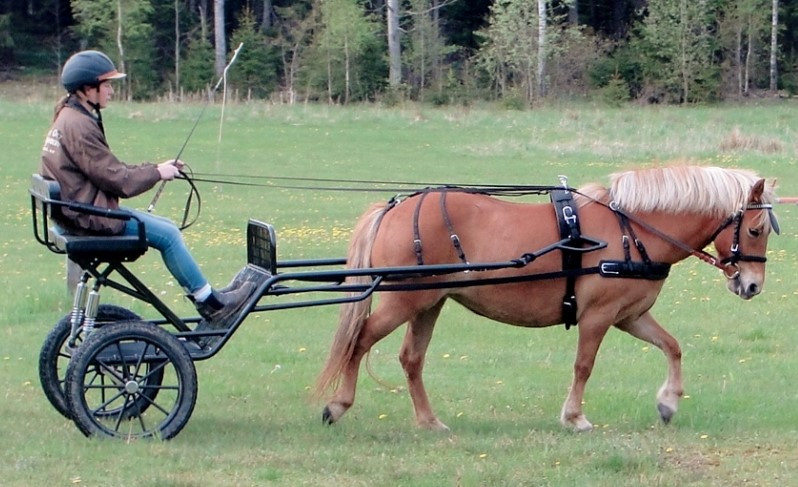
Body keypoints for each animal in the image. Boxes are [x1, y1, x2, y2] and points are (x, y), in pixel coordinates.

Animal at [314, 165, 778, 432]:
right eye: (755, 229)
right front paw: (575, 417)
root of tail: (393, 208)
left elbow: (672, 347)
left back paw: (429, 422)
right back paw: (337, 405)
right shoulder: (598, 316)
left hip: (429, 302)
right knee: (359, 341)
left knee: (411, 359)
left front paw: (667, 404)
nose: (752, 286)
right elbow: (584, 365)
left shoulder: (629, 316)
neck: (631, 229)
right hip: (403, 300)